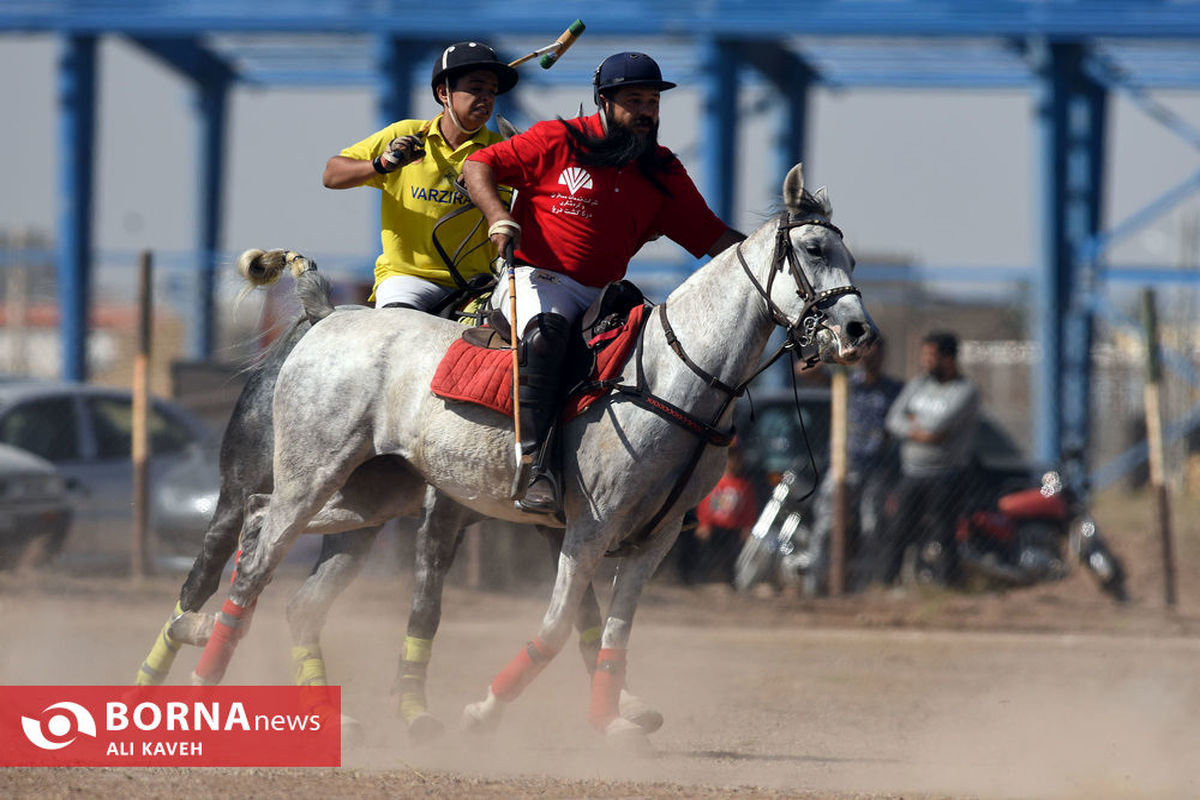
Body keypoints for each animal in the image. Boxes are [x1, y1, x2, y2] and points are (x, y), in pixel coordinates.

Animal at [192, 163, 878, 753]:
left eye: (848, 256)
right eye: (813, 251)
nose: (859, 333)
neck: (672, 378)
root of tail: (328, 316)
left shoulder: (653, 540)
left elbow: (613, 635)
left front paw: (610, 722)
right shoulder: (589, 528)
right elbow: (554, 628)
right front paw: (483, 713)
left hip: (369, 493)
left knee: (262, 529)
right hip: (316, 474)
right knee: (258, 557)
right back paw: (204, 676)